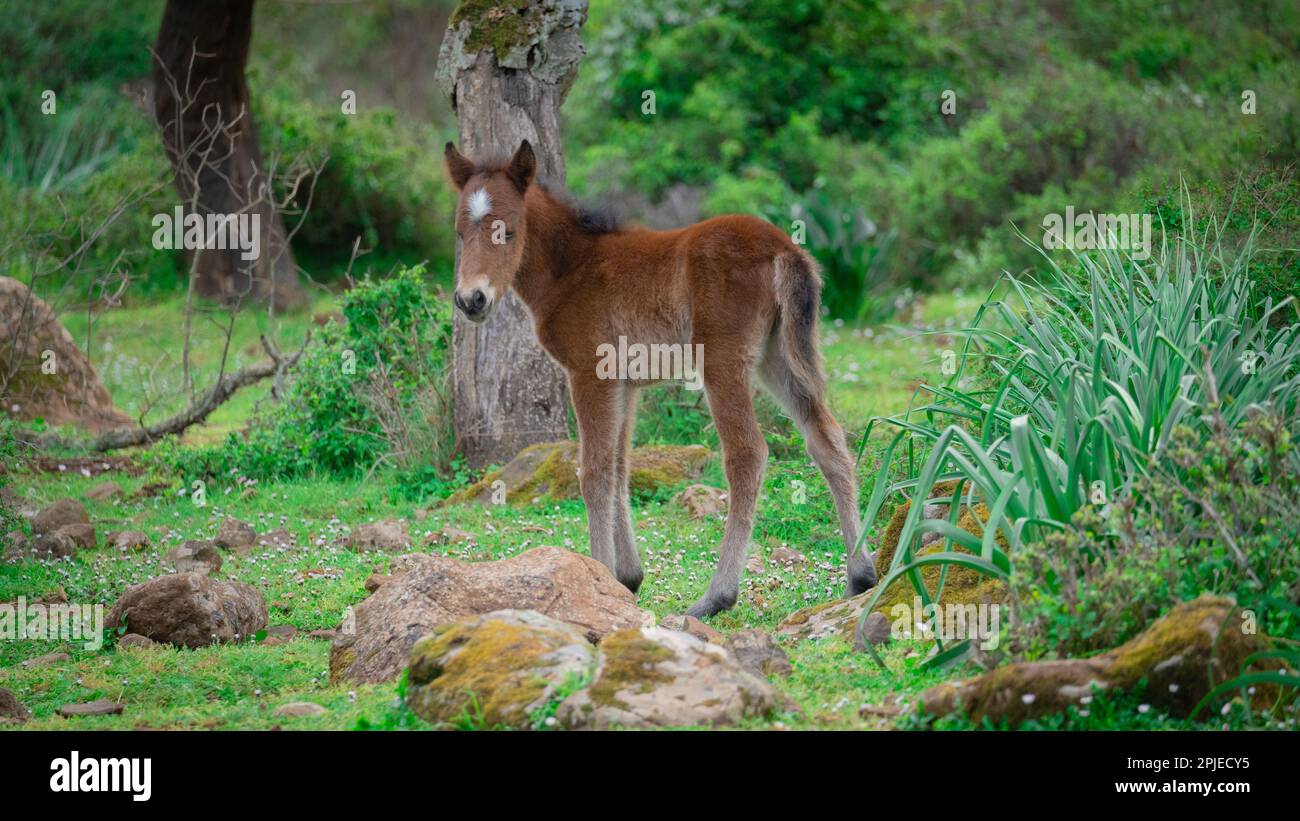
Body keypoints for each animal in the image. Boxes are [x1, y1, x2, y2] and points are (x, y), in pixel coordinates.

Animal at [444, 140, 873, 615]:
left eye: (509, 231)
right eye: (460, 233)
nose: (471, 300)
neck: (573, 268)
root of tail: (785, 250)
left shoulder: (589, 373)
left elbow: (594, 472)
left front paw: (600, 572)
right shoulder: (624, 384)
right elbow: (619, 467)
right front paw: (627, 577)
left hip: (723, 362)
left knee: (747, 454)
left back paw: (717, 596)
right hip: (779, 359)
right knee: (827, 439)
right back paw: (861, 576)